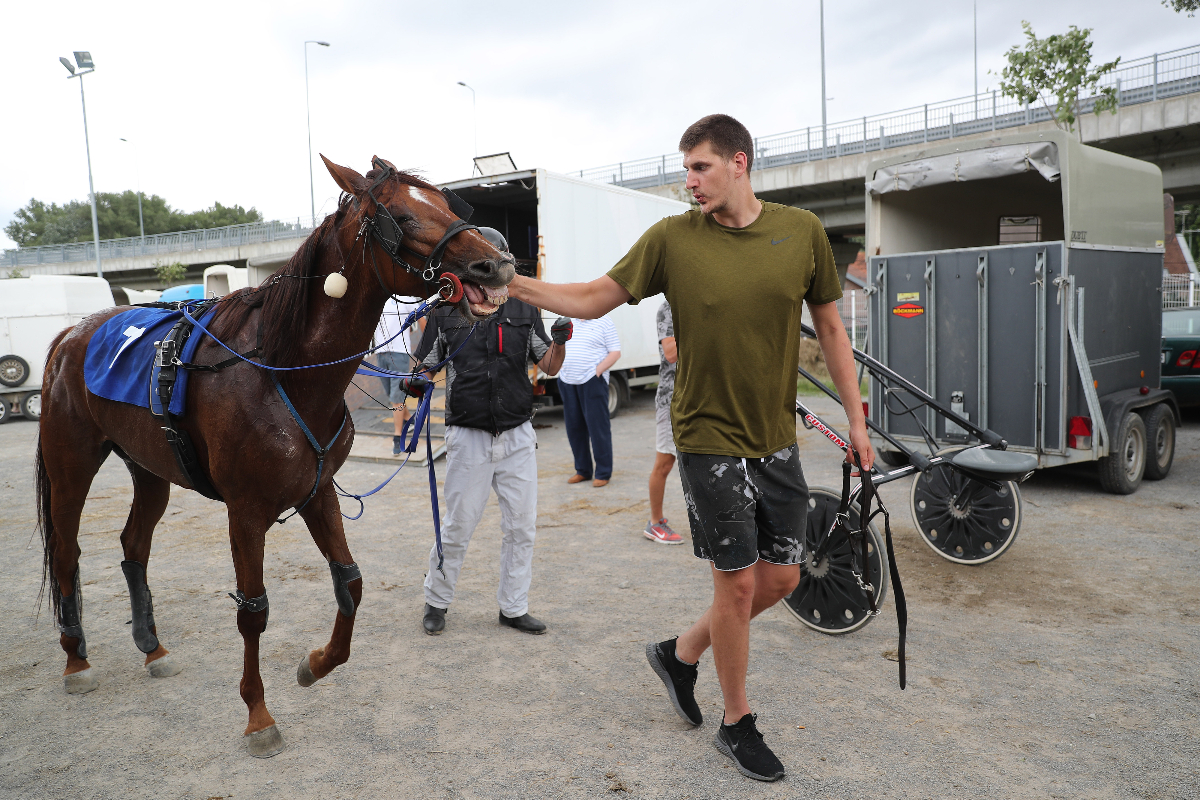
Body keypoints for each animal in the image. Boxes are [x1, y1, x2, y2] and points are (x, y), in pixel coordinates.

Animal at [35, 154, 513, 758]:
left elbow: (350, 582)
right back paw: (76, 658)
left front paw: (317, 663)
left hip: (149, 469)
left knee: (133, 545)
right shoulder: (245, 512)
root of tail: (71, 334)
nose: (496, 263)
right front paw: (257, 714)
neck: (280, 372)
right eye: (402, 216)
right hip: (71, 464)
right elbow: (254, 611)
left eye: (451, 207)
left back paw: (152, 647)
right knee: (67, 552)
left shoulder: (318, 491)